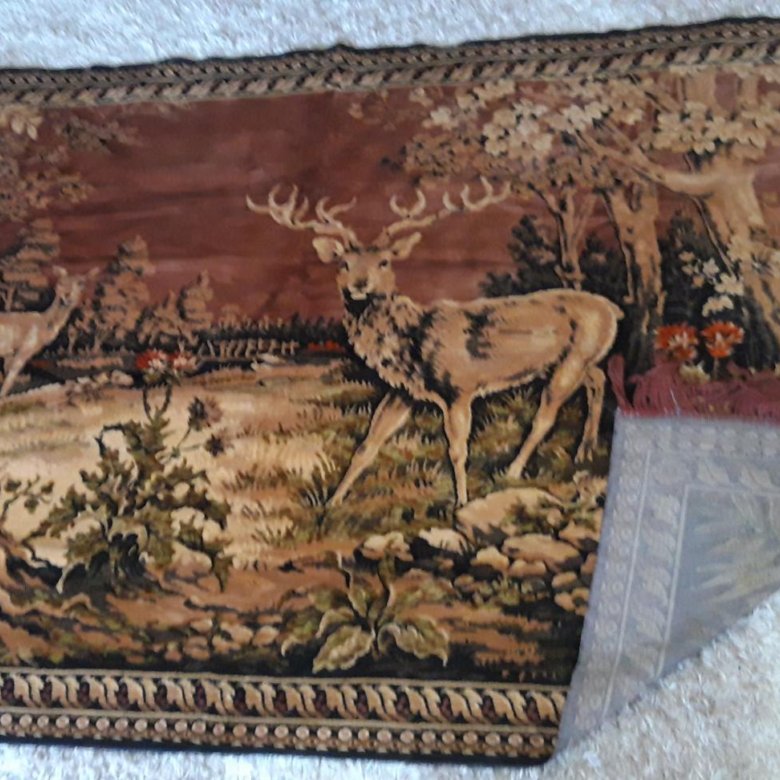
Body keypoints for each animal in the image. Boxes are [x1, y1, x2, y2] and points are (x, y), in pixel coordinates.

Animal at [0, 266, 97, 398]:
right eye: (60, 282)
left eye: (80, 283)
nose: (67, 295)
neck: (44, 322)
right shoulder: (25, 350)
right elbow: (9, 380)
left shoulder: (10, 353)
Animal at [247, 179, 623, 507]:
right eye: (345, 262)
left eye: (384, 261)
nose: (360, 285)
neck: (411, 342)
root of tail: (612, 309)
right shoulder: (403, 391)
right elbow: (367, 445)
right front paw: (332, 502)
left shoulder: (460, 389)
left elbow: (457, 449)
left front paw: (461, 502)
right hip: (574, 360)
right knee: (598, 379)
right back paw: (584, 451)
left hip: (573, 359)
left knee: (546, 416)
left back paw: (513, 470)